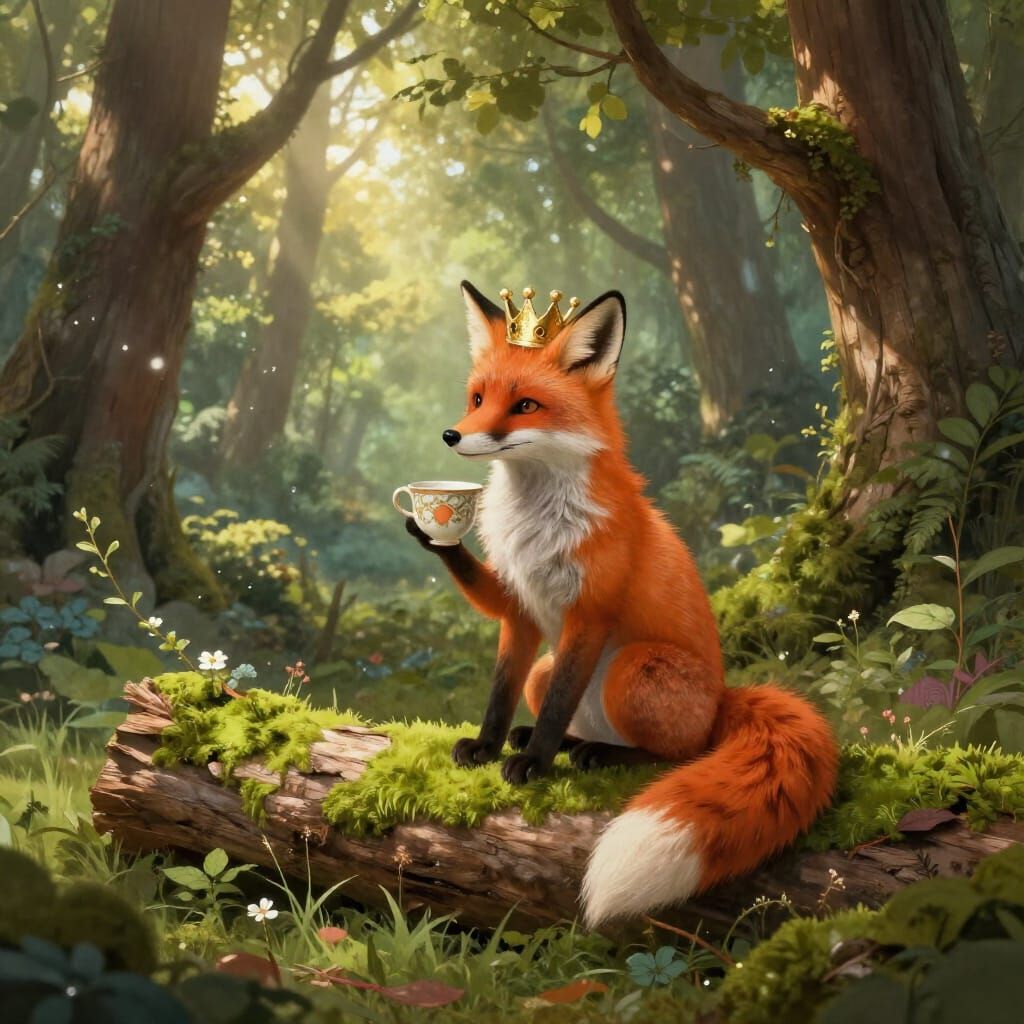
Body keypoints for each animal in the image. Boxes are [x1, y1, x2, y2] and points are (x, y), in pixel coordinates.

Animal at [404, 280, 838, 927]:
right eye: (477, 398)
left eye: (525, 405)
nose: (452, 436)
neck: (535, 524)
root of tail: (724, 698)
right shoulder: (521, 612)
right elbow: (500, 692)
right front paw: (489, 745)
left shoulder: (590, 612)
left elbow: (561, 702)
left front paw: (535, 764)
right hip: (547, 668)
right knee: (564, 707)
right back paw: (573, 744)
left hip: (632, 669)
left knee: (677, 753)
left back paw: (598, 756)